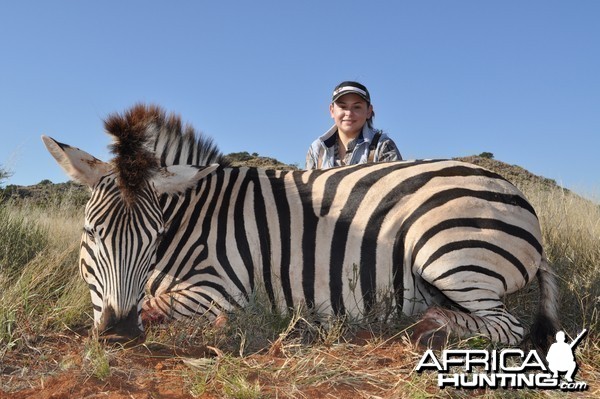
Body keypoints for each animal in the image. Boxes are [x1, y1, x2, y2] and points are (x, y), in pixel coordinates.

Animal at [41, 104, 556, 350]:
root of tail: (513, 191)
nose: (117, 334)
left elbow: (157, 306)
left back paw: (428, 325)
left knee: (508, 327)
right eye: (92, 234)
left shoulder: (223, 286)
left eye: (154, 237)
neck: (196, 216)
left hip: (447, 253)